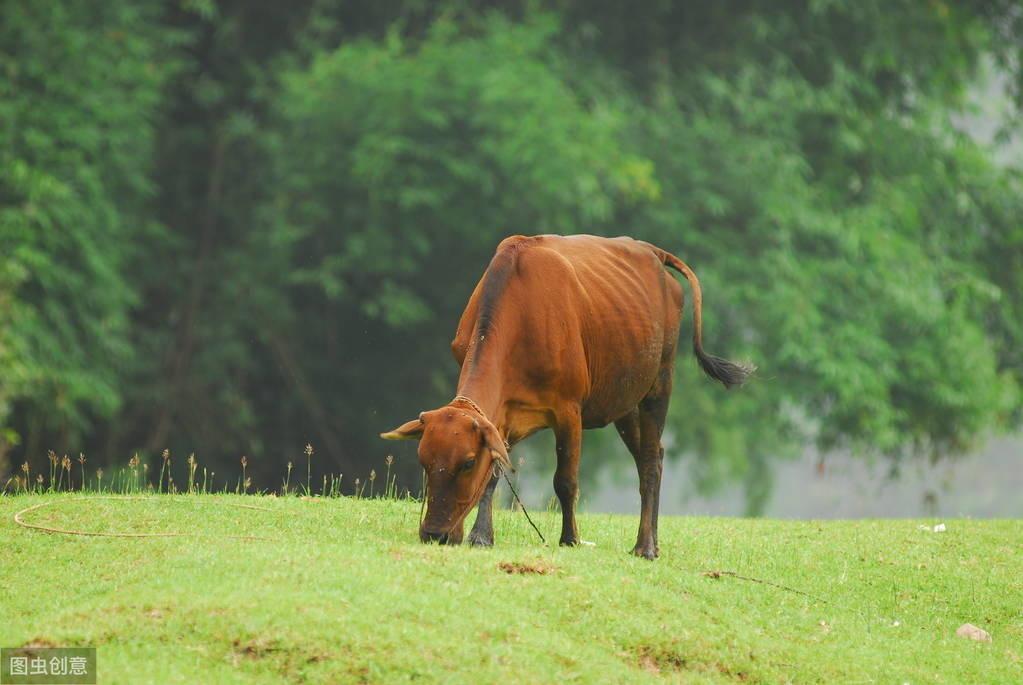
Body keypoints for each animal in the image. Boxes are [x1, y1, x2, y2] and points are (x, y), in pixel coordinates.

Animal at [384, 235, 752, 556]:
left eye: (467, 463)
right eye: (424, 460)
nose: (434, 534)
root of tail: (651, 251)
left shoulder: (569, 409)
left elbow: (566, 480)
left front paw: (570, 538)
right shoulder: (501, 414)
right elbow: (494, 474)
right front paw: (481, 536)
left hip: (660, 380)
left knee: (649, 459)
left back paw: (645, 547)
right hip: (625, 400)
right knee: (656, 455)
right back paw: (654, 541)